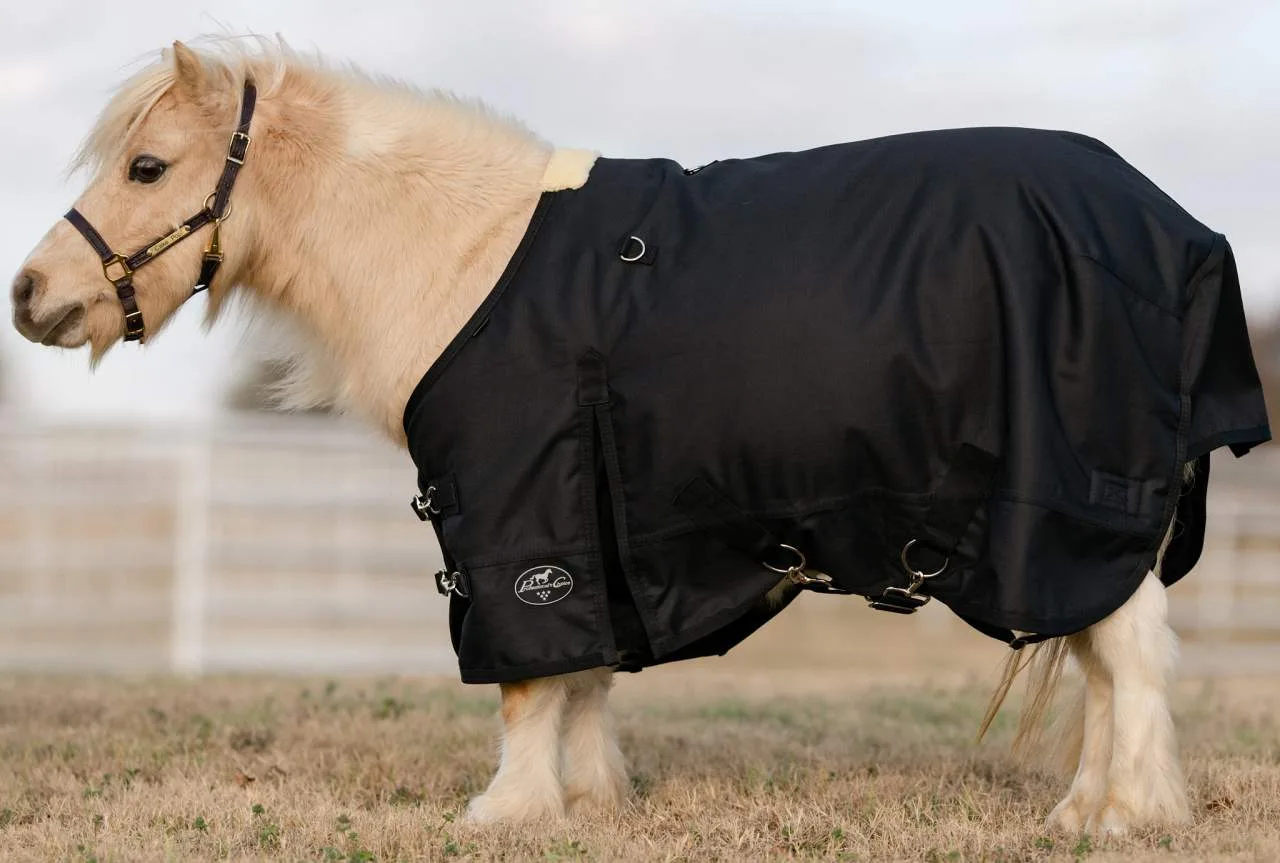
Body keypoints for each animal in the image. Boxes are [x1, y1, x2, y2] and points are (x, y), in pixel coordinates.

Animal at [9, 38, 1271, 835]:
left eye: (147, 166)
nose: (30, 296)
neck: (471, 259)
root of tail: (1176, 232)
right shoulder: (590, 516)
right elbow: (585, 675)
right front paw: (584, 798)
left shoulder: (518, 516)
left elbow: (531, 675)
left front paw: (506, 808)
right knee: (1107, 658)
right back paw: (1086, 806)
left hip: (1066, 514)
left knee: (1127, 653)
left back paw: (1117, 814)